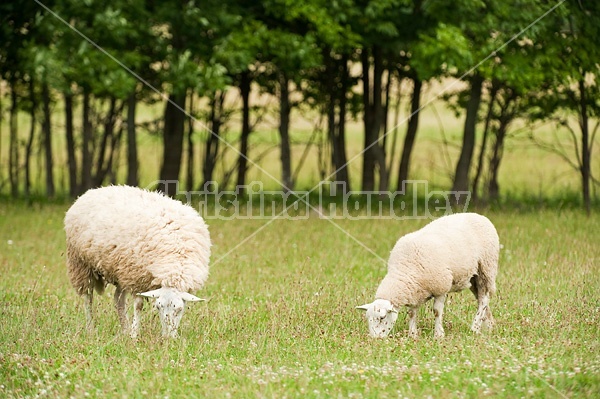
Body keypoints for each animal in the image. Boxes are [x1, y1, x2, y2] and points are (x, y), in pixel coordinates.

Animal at [65, 186, 211, 340]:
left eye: (179, 309)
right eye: (158, 307)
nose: (167, 338)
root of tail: (93, 191)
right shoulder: (137, 276)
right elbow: (139, 305)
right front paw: (134, 334)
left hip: (121, 269)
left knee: (118, 299)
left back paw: (124, 329)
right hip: (81, 264)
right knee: (88, 298)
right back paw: (91, 329)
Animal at [358, 214, 500, 340]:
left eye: (382, 317)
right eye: (368, 318)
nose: (375, 339)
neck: (405, 270)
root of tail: (481, 216)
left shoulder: (441, 287)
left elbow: (436, 311)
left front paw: (438, 334)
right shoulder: (415, 291)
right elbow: (412, 313)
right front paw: (412, 334)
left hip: (486, 268)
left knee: (483, 300)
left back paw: (474, 327)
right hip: (473, 277)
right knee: (481, 299)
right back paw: (488, 326)